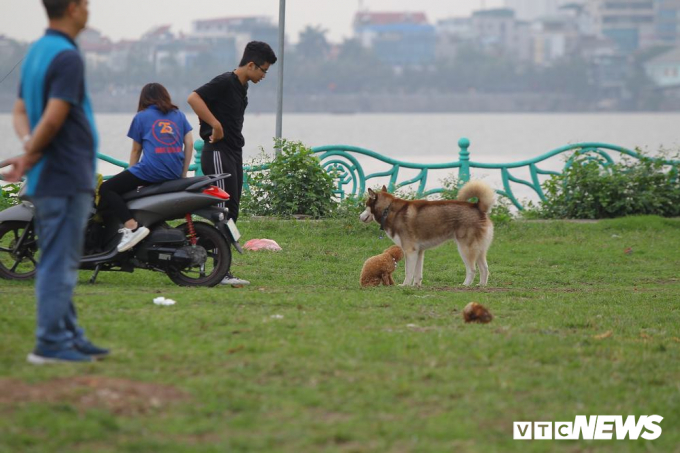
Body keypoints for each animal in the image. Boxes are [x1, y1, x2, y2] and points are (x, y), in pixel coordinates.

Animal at [358, 180, 496, 286]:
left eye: (366, 205)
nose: (359, 217)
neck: (388, 210)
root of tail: (477, 207)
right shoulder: (418, 252)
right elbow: (417, 273)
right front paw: (416, 285)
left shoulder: (410, 250)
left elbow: (409, 272)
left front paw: (404, 285)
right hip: (479, 250)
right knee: (485, 268)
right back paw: (481, 285)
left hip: (465, 249)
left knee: (472, 269)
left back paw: (465, 285)